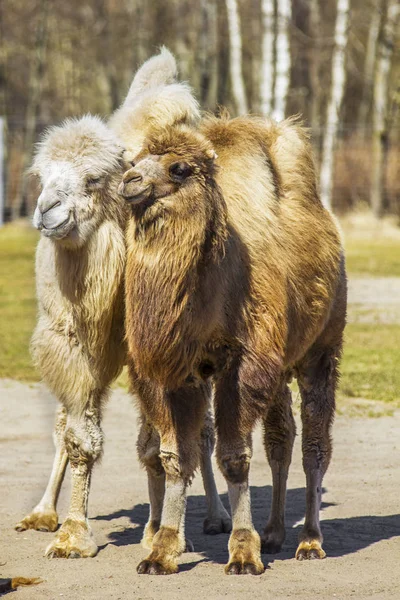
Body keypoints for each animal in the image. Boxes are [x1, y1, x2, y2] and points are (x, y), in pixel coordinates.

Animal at [119, 113, 346, 576]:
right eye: (134, 160)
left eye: (179, 168)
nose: (129, 181)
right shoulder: (175, 368)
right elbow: (176, 456)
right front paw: (161, 550)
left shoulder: (244, 363)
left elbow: (234, 457)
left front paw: (243, 551)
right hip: (280, 367)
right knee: (281, 438)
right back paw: (275, 533)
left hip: (322, 349)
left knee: (314, 445)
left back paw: (310, 541)